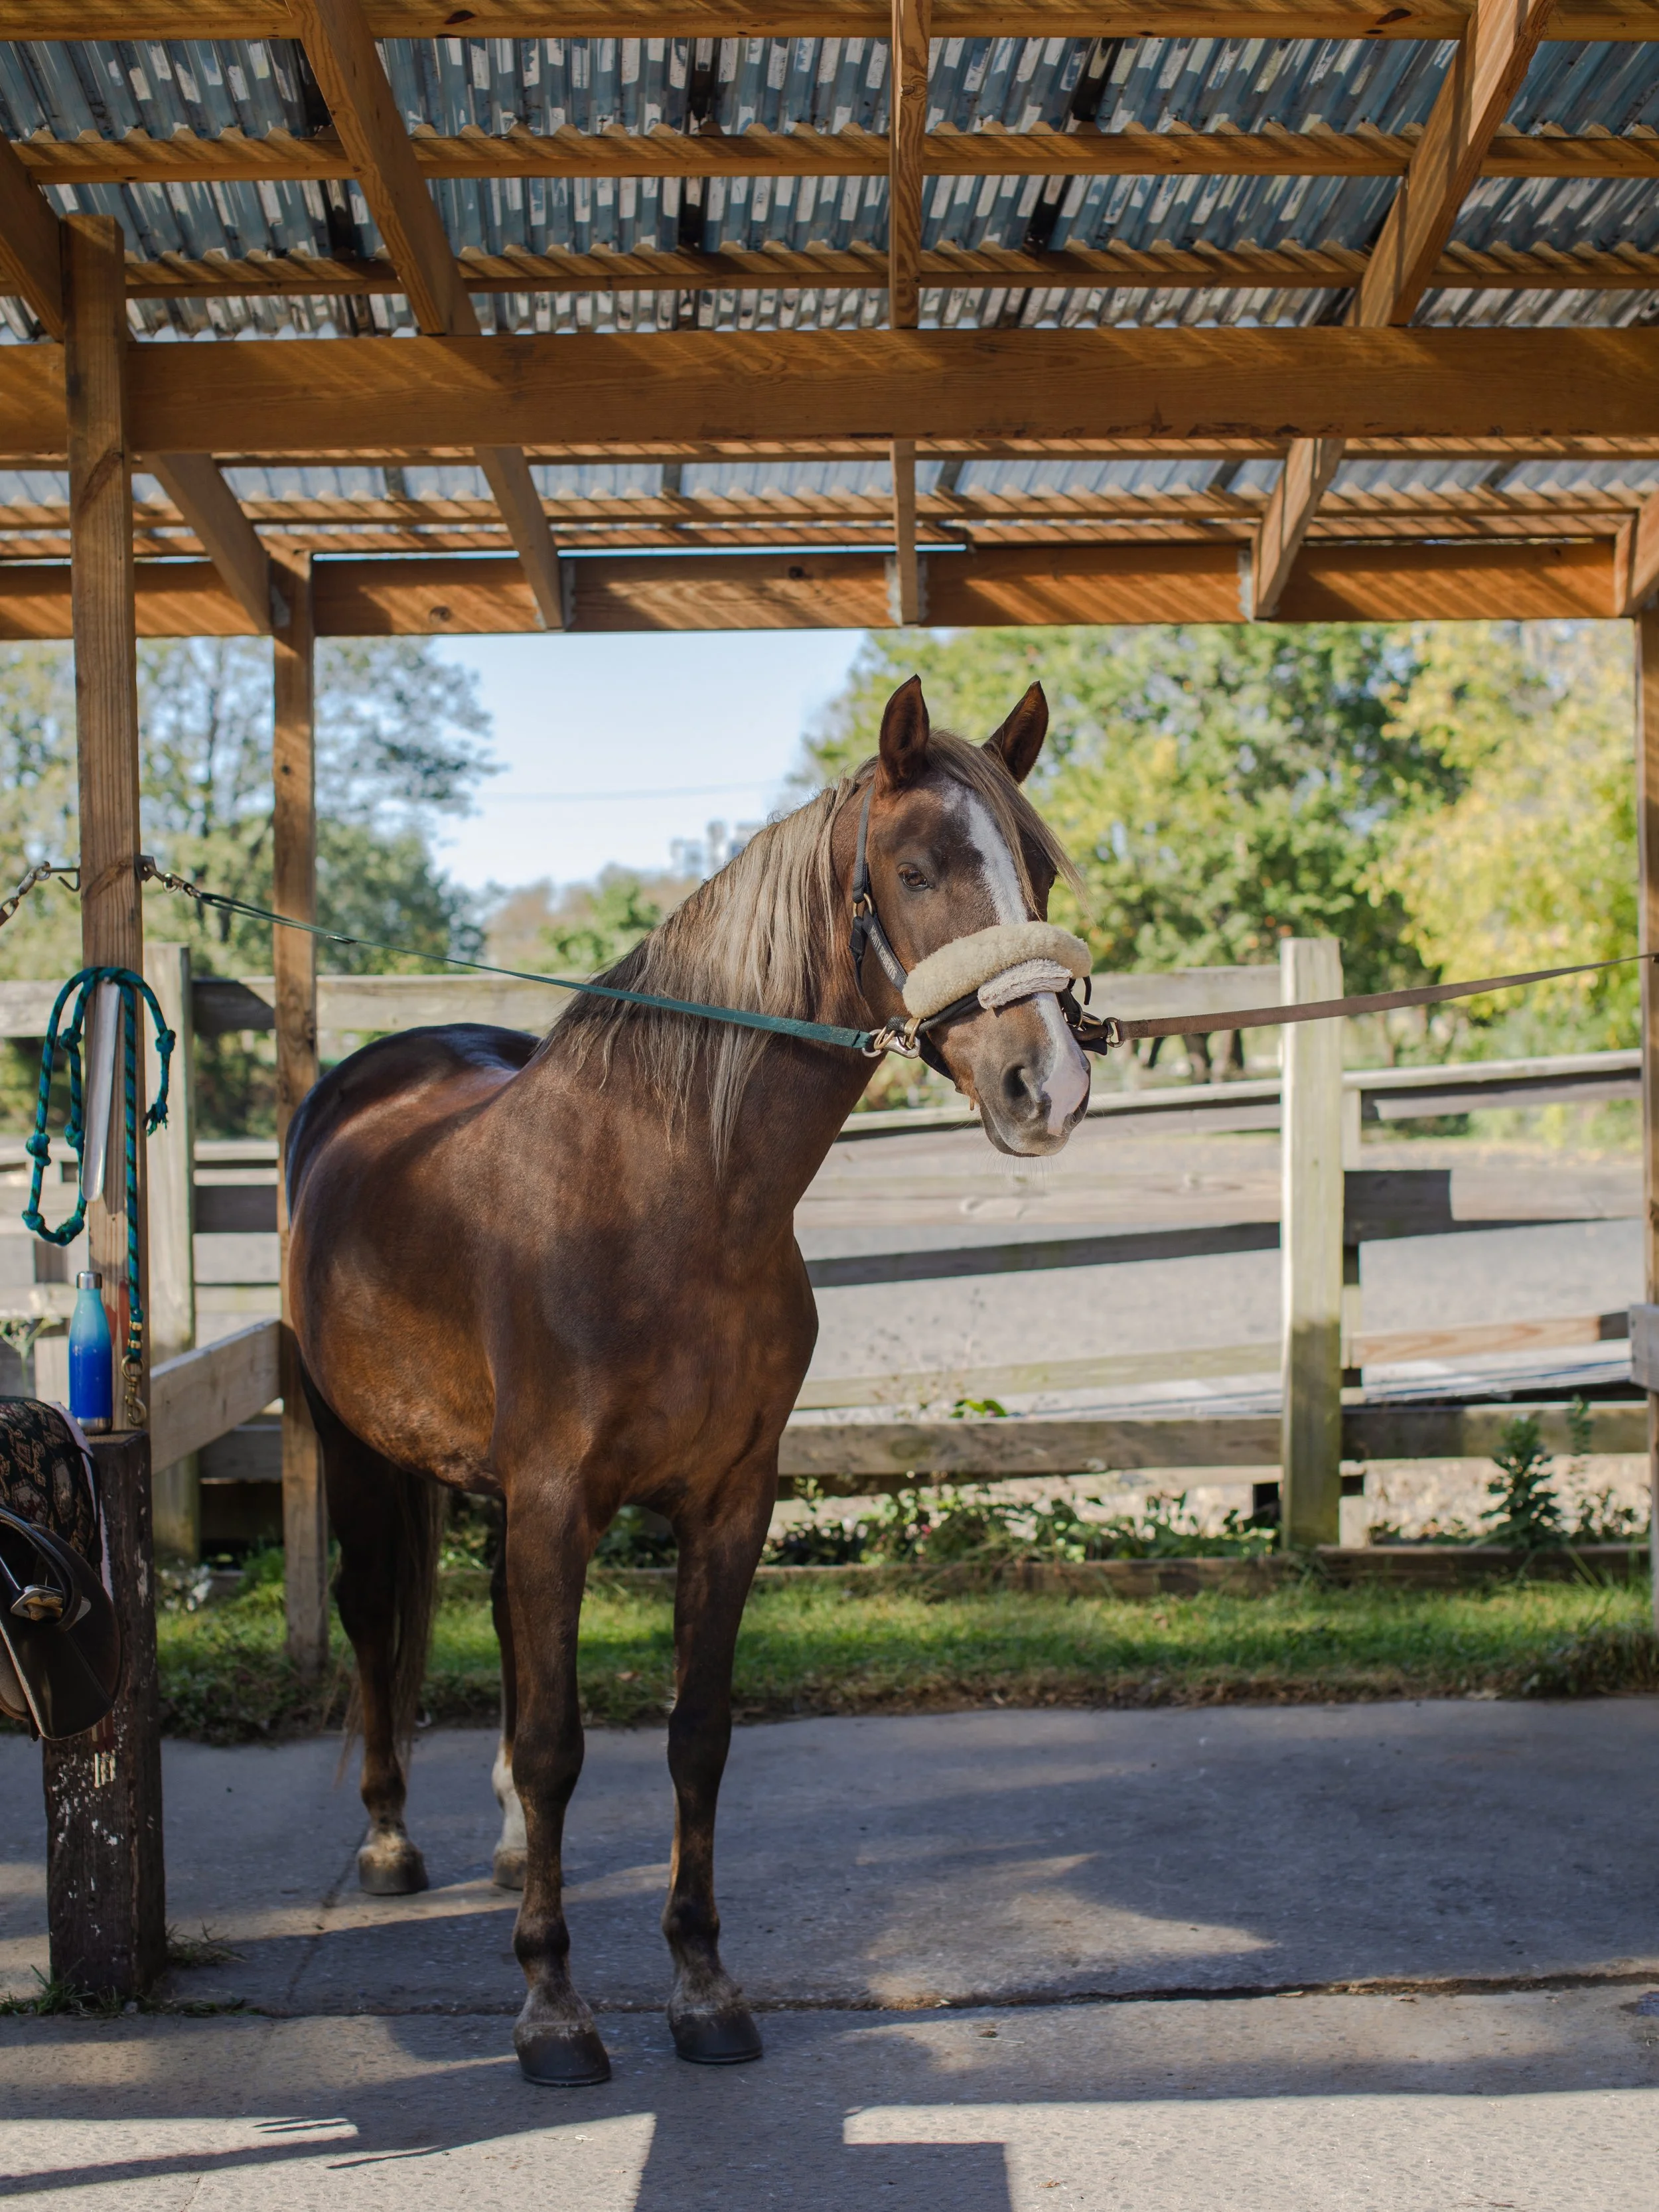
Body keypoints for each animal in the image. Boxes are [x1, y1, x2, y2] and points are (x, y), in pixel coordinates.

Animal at [285, 674, 1094, 2086]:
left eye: (1036, 869)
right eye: (918, 868)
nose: (1046, 1083)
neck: (667, 1193)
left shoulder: (728, 1501)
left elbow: (695, 1736)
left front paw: (703, 1983)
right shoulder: (561, 1498)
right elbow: (559, 1745)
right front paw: (554, 2004)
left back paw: (502, 1847)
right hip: (362, 1450)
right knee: (373, 1608)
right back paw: (389, 1837)